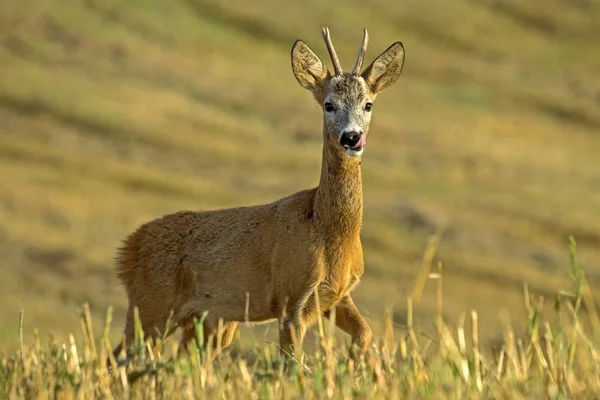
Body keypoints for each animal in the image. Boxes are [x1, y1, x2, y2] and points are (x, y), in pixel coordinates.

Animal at [112, 27, 404, 360]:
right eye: (329, 104)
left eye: (368, 104)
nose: (352, 137)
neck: (329, 229)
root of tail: (129, 248)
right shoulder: (292, 298)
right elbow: (291, 362)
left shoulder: (336, 295)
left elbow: (365, 334)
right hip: (151, 305)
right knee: (119, 356)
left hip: (208, 320)